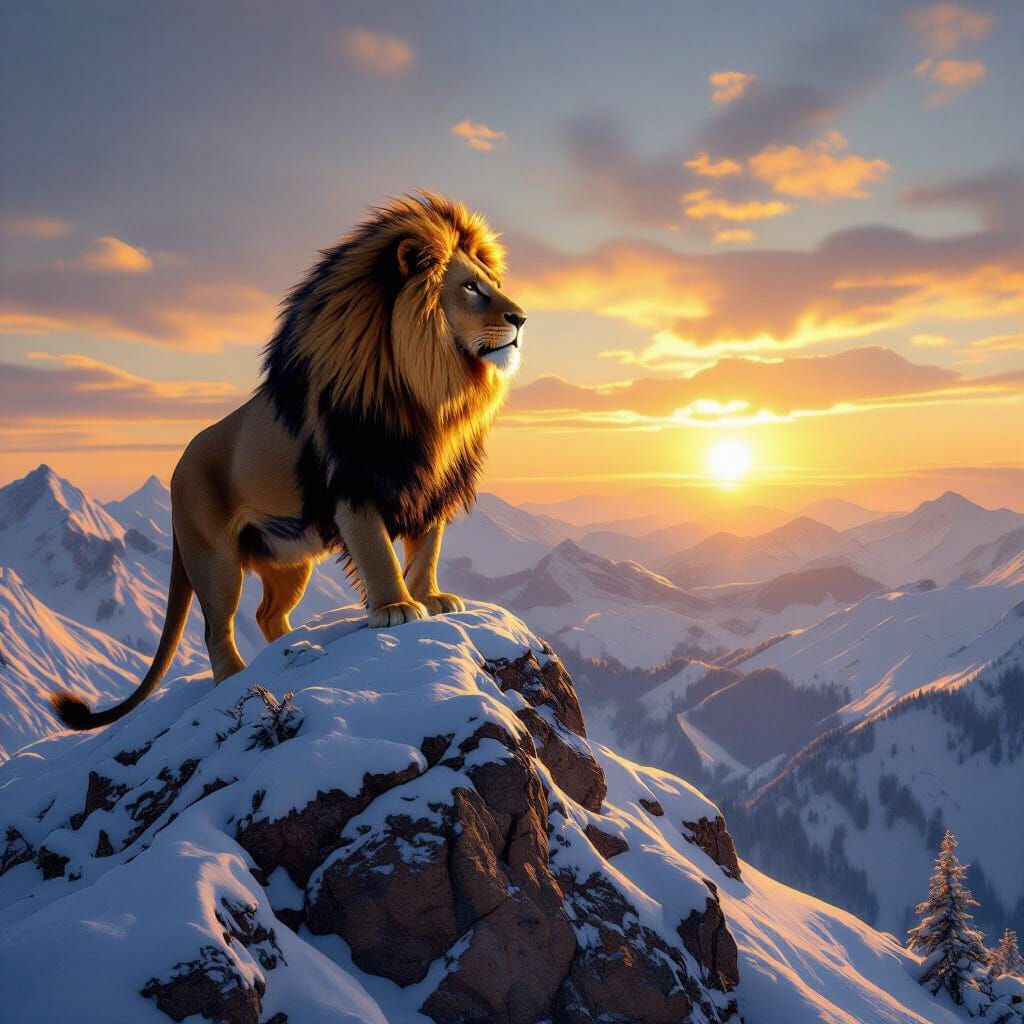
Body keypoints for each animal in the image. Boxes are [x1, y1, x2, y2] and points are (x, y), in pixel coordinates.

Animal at [51, 192, 526, 730]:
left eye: (494, 285)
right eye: (470, 288)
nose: (522, 319)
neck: (432, 394)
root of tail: (177, 465)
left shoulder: (430, 485)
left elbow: (427, 549)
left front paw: (430, 598)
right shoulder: (353, 484)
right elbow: (379, 553)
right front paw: (397, 608)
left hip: (290, 558)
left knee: (266, 615)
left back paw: (295, 648)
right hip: (214, 558)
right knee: (217, 628)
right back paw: (237, 676)